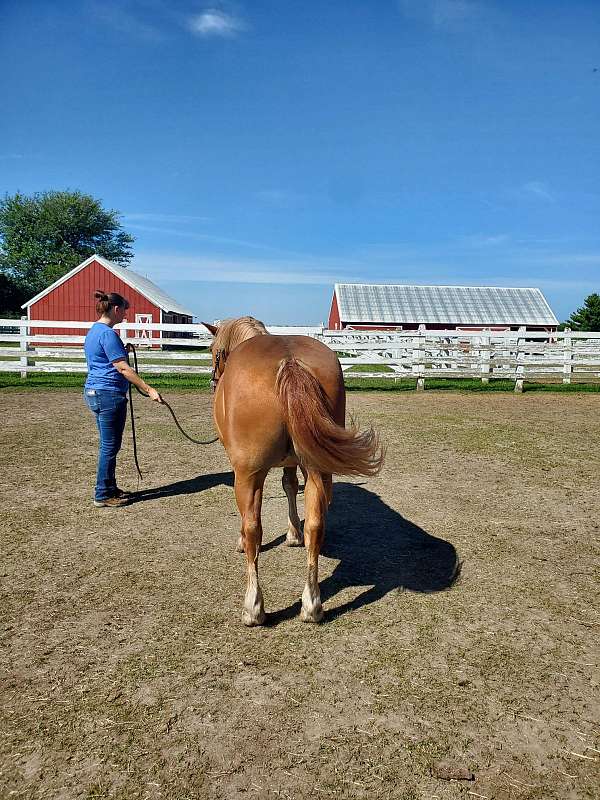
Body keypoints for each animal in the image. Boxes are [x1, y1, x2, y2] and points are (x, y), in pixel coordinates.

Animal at [203, 318, 384, 624]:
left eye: (214, 351)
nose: (214, 382)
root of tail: (290, 362)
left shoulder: (242, 472)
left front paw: (243, 542)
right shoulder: (291, 462)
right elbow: (289, 486)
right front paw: (293, 534)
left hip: (249, 475)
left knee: (253, 528)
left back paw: (253, 607)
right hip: (318, 470)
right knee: (315, 525)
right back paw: (312, 604)